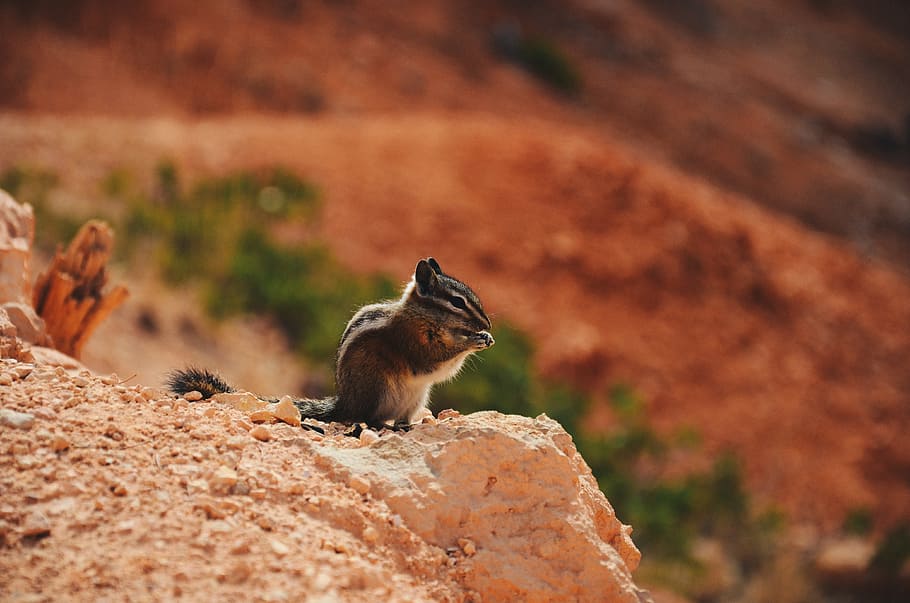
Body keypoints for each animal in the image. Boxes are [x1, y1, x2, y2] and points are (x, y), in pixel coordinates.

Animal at [168, 257, 494, 427]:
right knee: (366, 417)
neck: (421, 315)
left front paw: (485, 337)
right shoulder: (413, 343)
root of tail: (344, 403)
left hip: (417, 398)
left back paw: (408, 425)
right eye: (457, 302)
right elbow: (437, 362)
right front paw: (474, 341)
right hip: (378, 388)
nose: (487, 325)